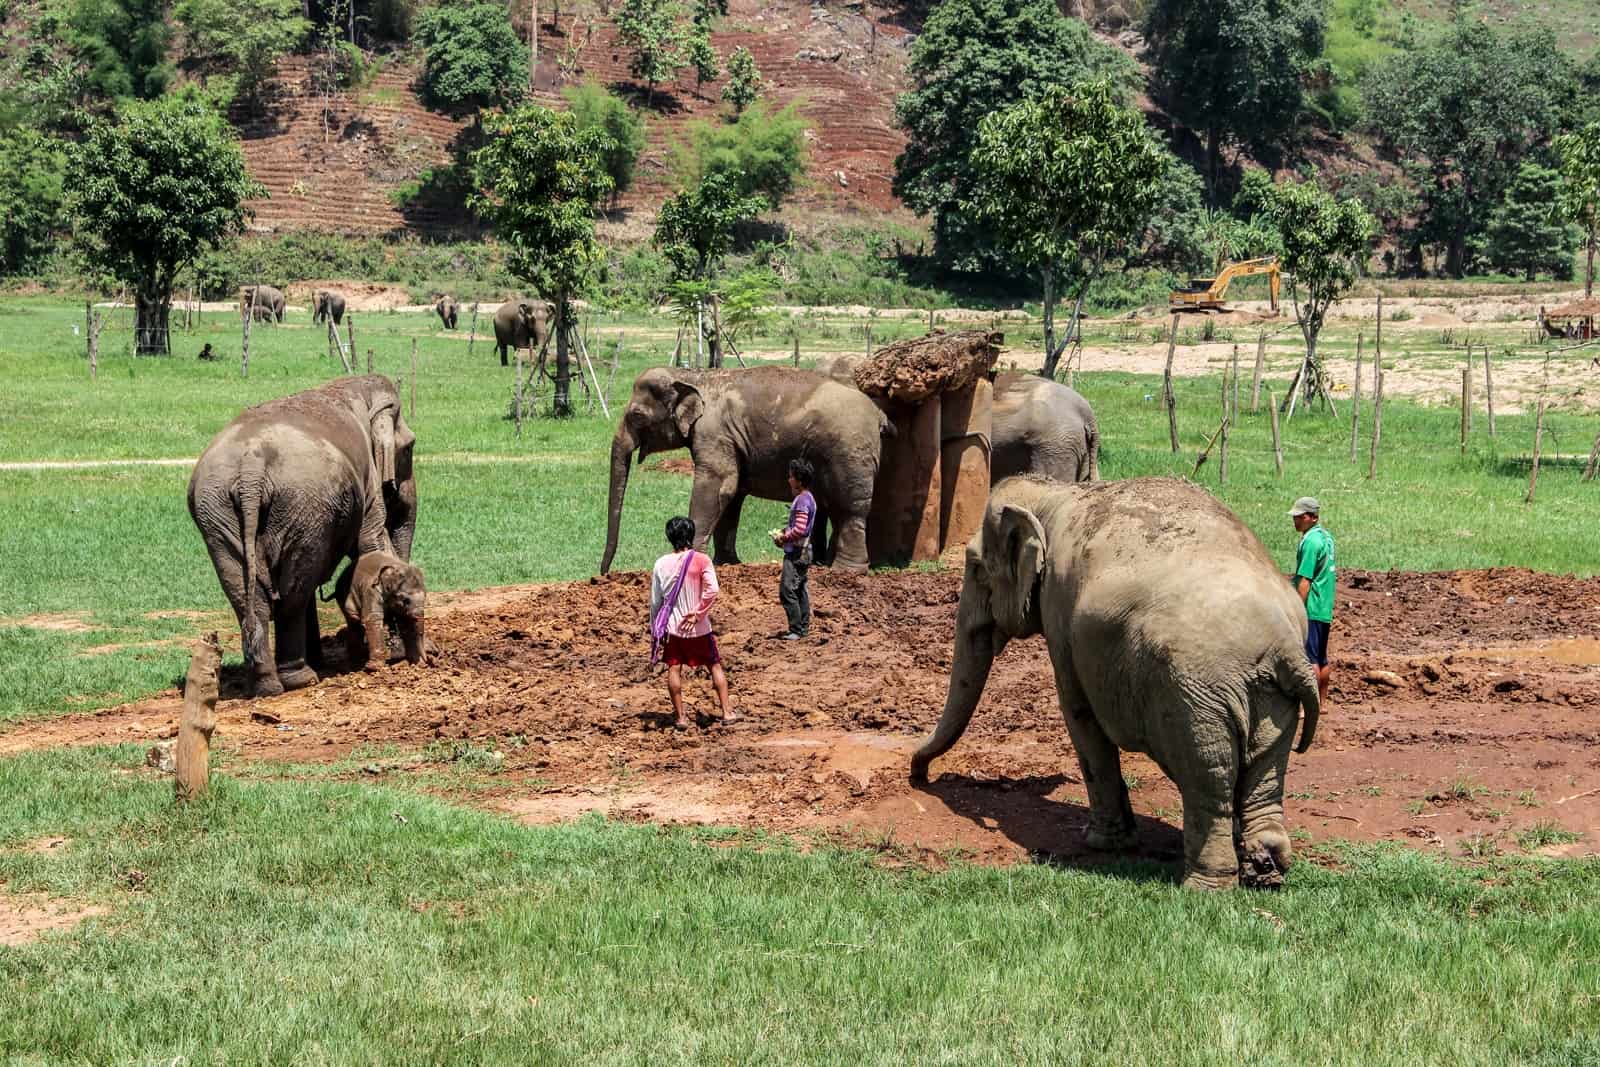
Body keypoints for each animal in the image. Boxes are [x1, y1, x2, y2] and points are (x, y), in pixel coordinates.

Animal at [185, 375, 419, 700]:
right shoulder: (368, 482)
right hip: (303, 506)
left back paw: (266, 685)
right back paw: (301, 679)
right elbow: (371, 542)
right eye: (409, 448)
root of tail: (251, 467)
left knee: (250, 594)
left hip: (218, 513)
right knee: (294, 592)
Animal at [601, 367, 902, 575]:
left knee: (850, 510)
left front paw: (689, 558)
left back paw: (846, 571)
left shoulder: (714, 433)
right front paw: (728, 564)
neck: (695, 375)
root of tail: (878, 414)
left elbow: (718, 485)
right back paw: (823, 564)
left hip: (850, 453)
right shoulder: (730, 441)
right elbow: (732, 495)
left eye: (636, 415)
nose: (603, 574)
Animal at [915, 476, 1324, 895]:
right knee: (1265, 771)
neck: (1053, 493)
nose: (921, 775)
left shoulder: (1060, 611)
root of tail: (1283, 647)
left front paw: (1101, 842)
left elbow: (1078, 714)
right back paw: (1266, 870)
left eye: (976, 568)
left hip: (1195, 699)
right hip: (1272, 698)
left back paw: (1203, 887)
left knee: (1209, 779)